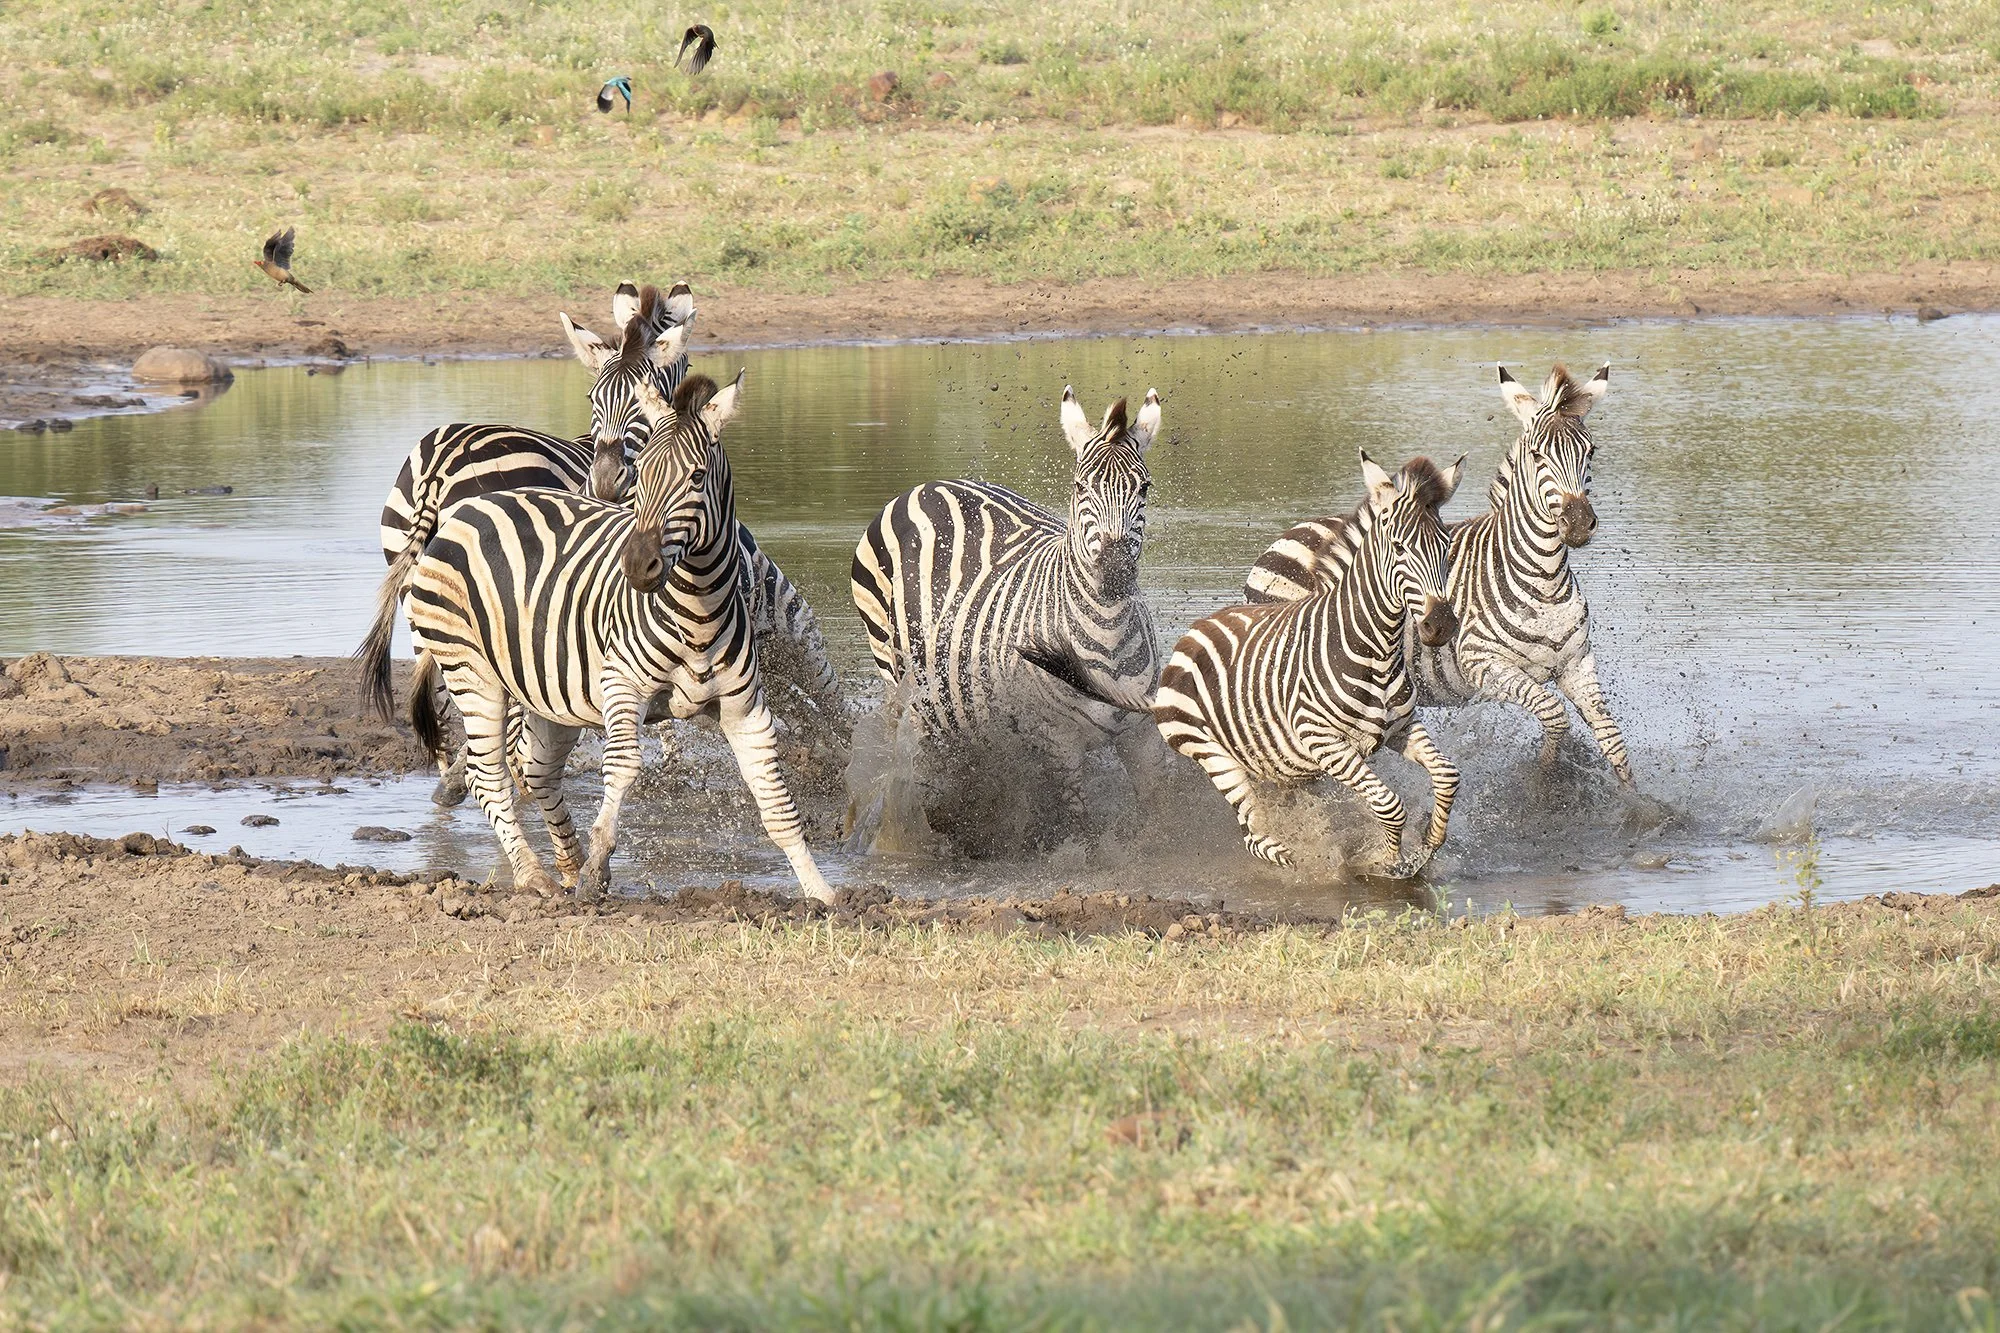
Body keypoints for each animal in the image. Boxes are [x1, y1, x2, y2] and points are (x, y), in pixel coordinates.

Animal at [358, 284, 840, 796]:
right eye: (595, 396)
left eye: (645, 396)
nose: (606, 478)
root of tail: (439, 462)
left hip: (421, 587)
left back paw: (455, 775)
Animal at [401, 371, 834, 902]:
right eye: (642, 474)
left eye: (696, 478)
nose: (636, 565)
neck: (699, 614)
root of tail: (465, 508)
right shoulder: (622, 687)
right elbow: (624, 766)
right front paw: (597, 866)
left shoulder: (745, 709)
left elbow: (777, 806)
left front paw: (823, 893)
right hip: (472, 672)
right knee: (490, 779)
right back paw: (534, 875)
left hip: (547, 689)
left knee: (539, 771)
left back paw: (569, 866)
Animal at [849, 387, 1163, 830]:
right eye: (1080, 486)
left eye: (1145, 488)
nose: (1116, 572)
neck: (1108, 638)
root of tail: (929, 485)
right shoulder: (1057, 744)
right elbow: (1082, 826)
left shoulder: (1144, 736)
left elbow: (1162, 813)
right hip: (897, 676)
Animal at [1153, 453, 1465, 875]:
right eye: (1399, 547)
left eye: (1446, 546)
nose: (1441, 624)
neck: (1377, 652)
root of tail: (1197, 627)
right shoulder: (1324, 741)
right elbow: (1389, 804)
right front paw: (1388, 861)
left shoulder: (1402, 728)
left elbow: (1448, 776)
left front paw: (1429, 844)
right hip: (1210, 752)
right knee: (1253, 832)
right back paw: (1303, 858)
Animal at [1245, 363, 1631, 785]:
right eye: (1536, 453)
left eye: (1590, 451)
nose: (1577, 524)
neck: (1543, 580)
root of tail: (1292, 531)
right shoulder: (1484, 665)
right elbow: (1554, 715)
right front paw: (1545, 781)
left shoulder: (1577, 665)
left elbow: (1614, 742)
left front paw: (1633, 799)